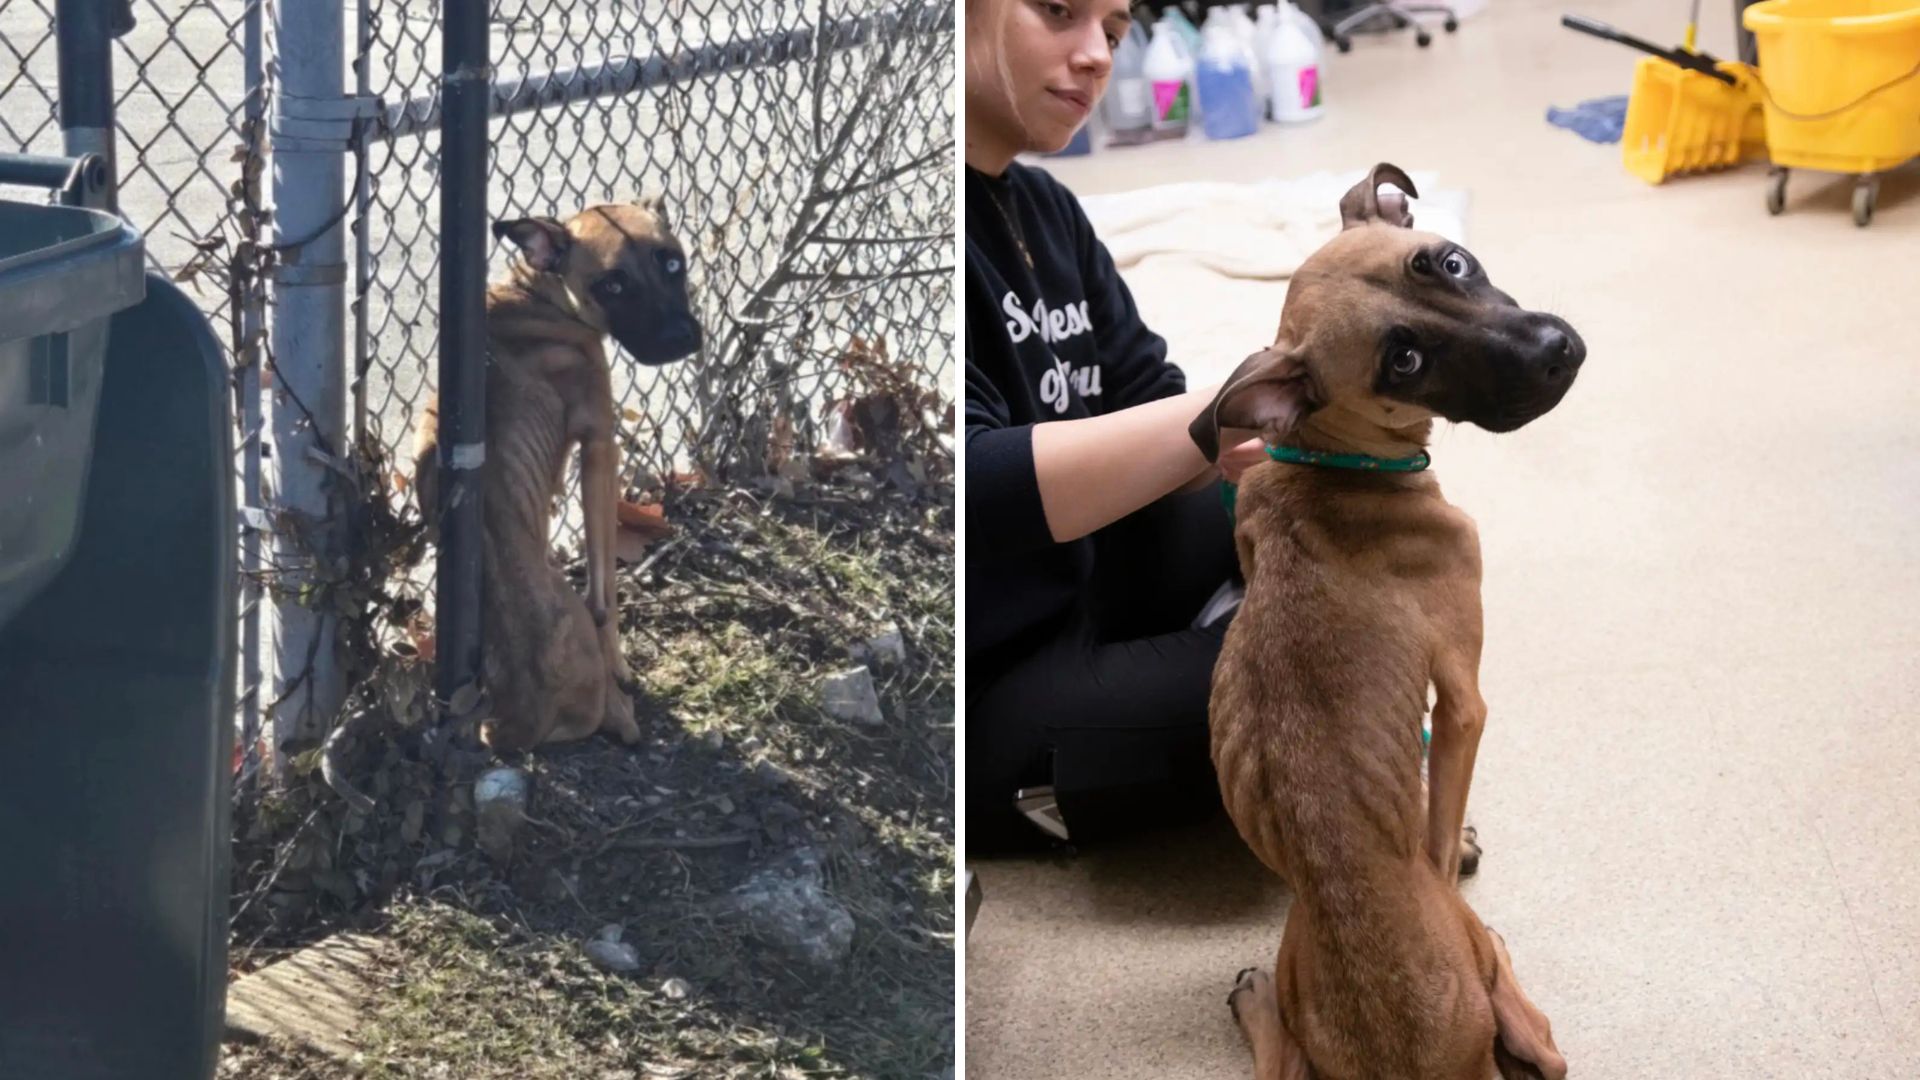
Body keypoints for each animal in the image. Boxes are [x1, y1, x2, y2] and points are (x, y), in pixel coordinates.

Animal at [416, 197, 702, 749]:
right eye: (612, 285)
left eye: (673, 262)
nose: (681, 338)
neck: (536, 293)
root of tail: (518, 724)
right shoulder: (600, 450)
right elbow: (604, 589)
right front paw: (621, 663)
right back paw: (622, 707)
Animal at [1190, 161, 1582, 1076]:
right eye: (1404, 360)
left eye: (1451, 263)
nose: (1559, 350)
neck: (1331, 461)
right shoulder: (1466, 700)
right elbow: (1440, 809)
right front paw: (1453, 838)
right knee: (1537, 1039)